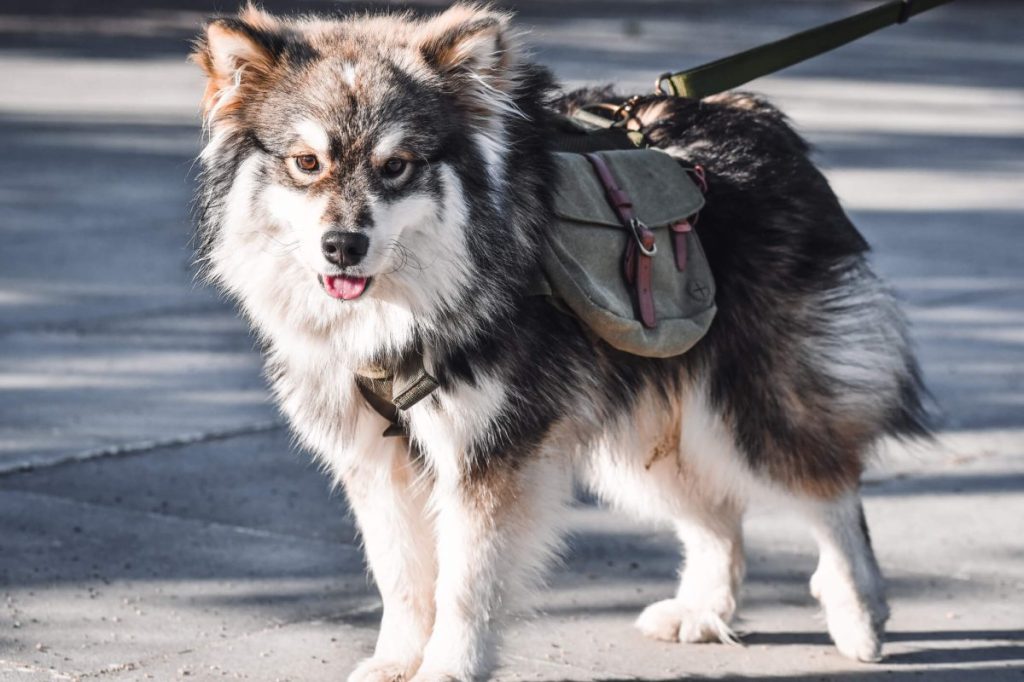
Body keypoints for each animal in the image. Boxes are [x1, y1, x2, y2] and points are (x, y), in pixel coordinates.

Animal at [190, 3, 929, 675]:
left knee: (830, 490)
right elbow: (400, 577)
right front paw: (397, 661)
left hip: (752, 407)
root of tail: (760, 120)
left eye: (397, 165)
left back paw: (859, 612)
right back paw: (704, 609)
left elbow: (465, 583)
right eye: (305, 162)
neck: (406, 308)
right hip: (644, 425)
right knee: (717, 514)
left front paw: (448, 666)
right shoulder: (374, 458)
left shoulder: (488, 453)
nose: (343, 246)